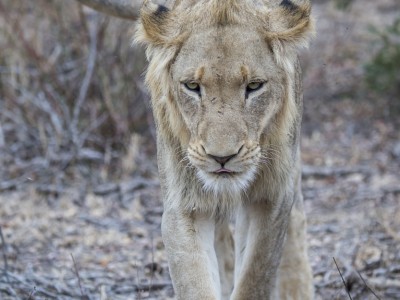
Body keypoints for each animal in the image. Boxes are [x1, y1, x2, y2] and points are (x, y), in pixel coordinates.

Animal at [78, 0, 316, 298]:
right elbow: (195, 282)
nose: (222, 157)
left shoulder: (270, 199)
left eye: (254, 86)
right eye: (192, 86)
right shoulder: (184, 204)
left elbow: (255, 276)